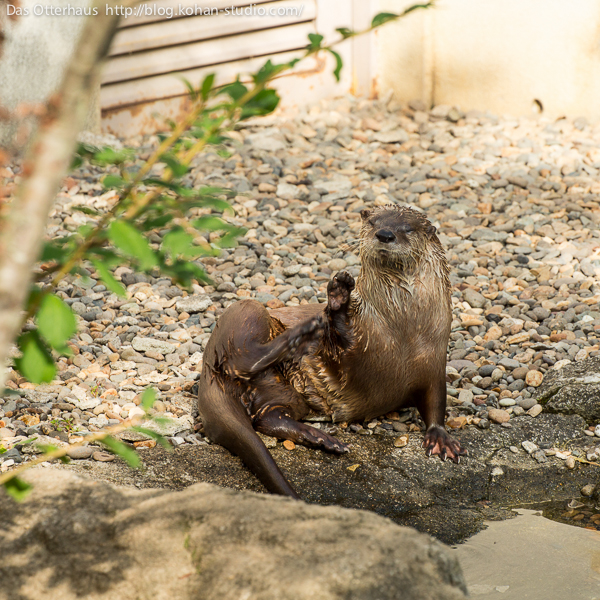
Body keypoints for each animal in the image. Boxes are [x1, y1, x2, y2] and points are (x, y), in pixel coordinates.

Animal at [197, 205, 464, 496]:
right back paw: (303, 331)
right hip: (244, 314)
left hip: (282, 390)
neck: (401, 332)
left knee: (267, 417)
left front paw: (440, 438)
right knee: (242, 359)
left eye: (408, 228)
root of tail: (208, 370)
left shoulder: (434, 363)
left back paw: (321, 438)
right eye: (373, 222)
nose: (384, 234)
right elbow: (338, 345)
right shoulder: (350, 351)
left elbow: (436, 402)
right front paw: (338, 296)